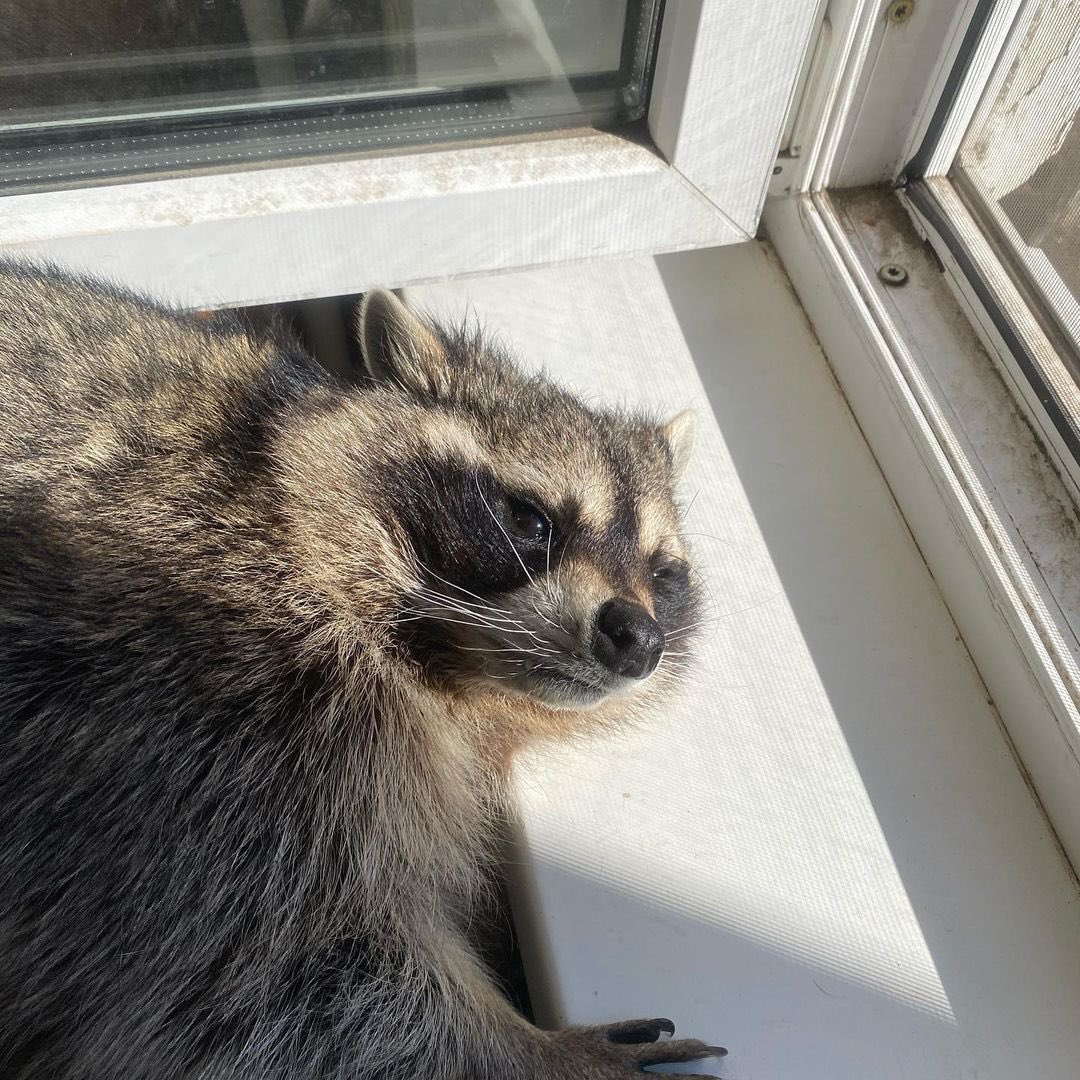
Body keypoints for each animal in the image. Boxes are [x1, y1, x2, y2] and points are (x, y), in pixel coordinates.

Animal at [0, 262, 717, 1079]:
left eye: (663, 574)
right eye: (531, 521)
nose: (637, 639)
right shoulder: (208, 713)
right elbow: (262, 979)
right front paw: (531, 1050)